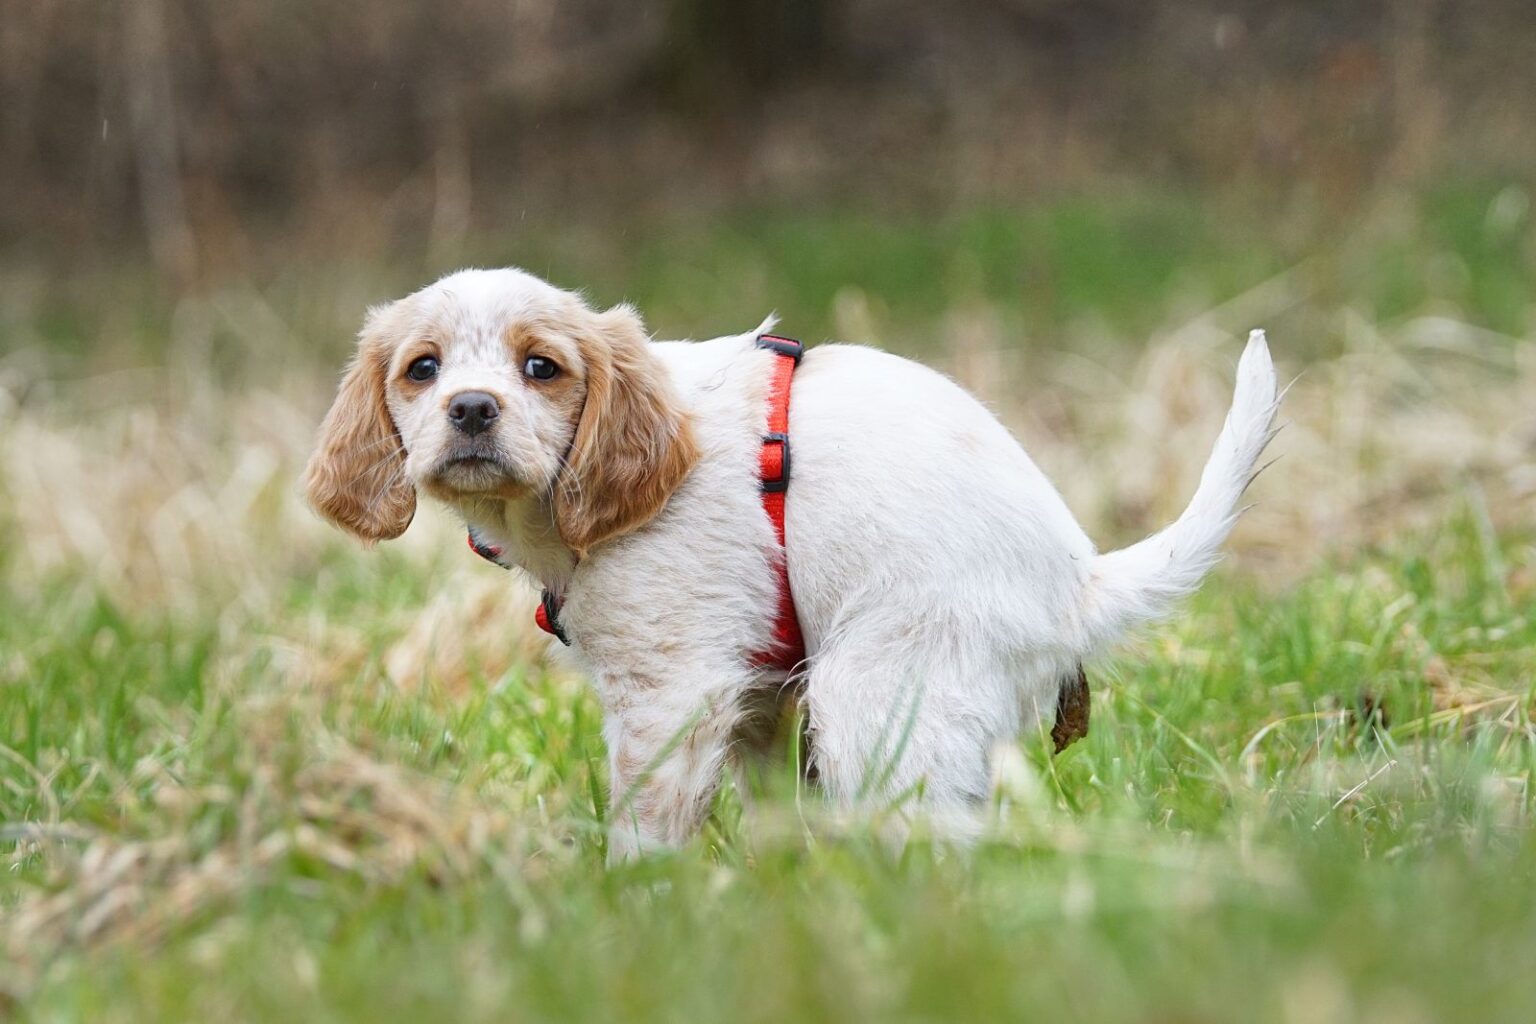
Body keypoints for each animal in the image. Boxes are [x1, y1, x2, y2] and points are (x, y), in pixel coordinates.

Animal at [305, 267, 1277, 859]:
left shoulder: (671, 688)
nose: (471, 409)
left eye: (541, 367)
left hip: (878, 696)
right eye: (422, 369)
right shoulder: (760, 697)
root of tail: (1077, 582)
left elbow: (646, 820)